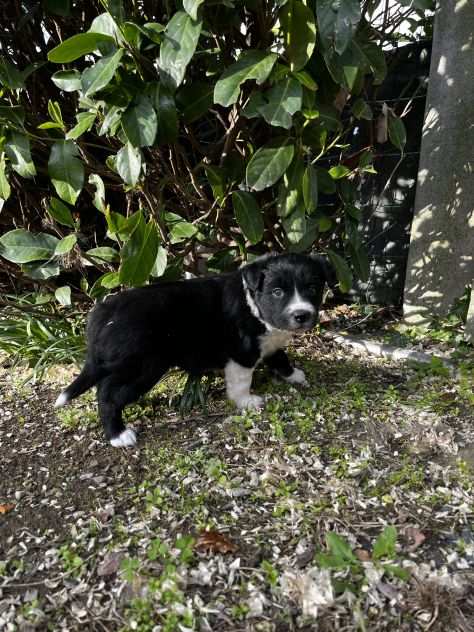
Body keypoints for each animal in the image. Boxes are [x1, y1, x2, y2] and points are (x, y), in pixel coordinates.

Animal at [55, 251, 336, 444]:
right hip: (144, 366)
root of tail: (104, 312)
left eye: (313, 288)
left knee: (105, 386)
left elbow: (280, 357)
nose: (301, 315)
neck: (254, 305)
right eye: (277, 292)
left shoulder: (270, 342)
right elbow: (241, 380)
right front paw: (246, 402)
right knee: (108, 395)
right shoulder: (242, 352)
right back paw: (118, 435)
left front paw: (293, 375)